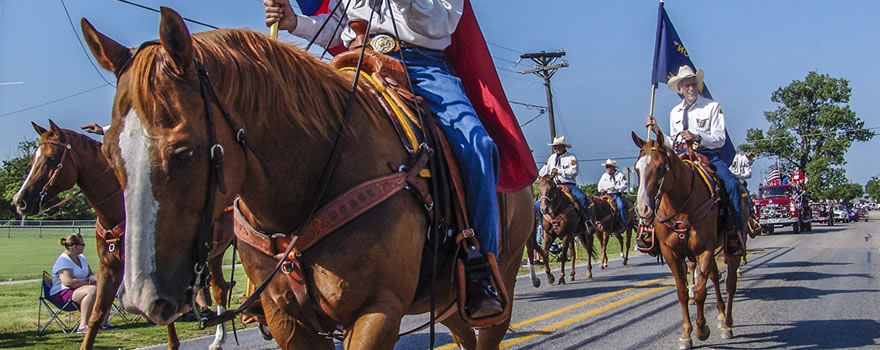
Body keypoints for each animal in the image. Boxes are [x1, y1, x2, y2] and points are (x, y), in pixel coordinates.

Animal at [12, 121, 234, 348]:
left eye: (51, 159)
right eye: (32, 158)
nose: (20, 200)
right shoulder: (108, 266)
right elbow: (97, 314)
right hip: (215, 254)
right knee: (219, 288)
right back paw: (219, 338)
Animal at [82, 8, 532, 350]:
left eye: (183, 152)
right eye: (108, 155)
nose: (141, 298)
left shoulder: (378, 312)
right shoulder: (288, 320)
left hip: (501, 284)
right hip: (447, 302)